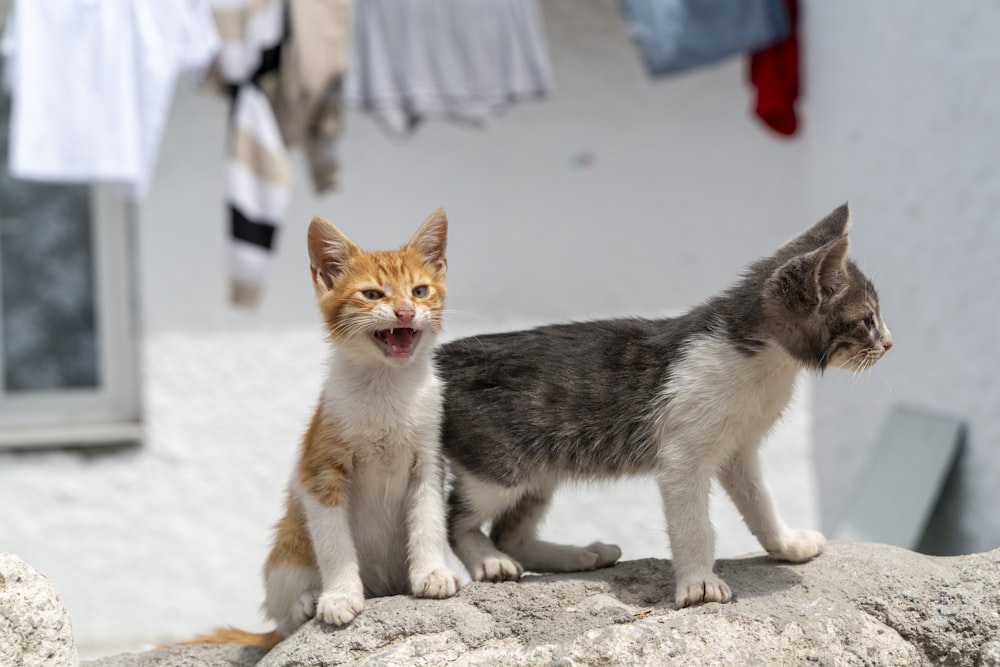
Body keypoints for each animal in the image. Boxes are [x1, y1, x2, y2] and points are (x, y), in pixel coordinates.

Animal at [436, 206, 892, 608]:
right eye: (868, 319)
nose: (889, 343)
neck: (766, 362)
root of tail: (441, 357)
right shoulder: (682, 456)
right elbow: (694, 525)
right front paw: (699, 583)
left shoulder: (739, 449)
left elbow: (759, 500)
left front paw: (786, 543)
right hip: (500, 466)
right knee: (456, 518)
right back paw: (489, 561)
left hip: (541, 467)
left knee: (510, 532)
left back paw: (578, 555)